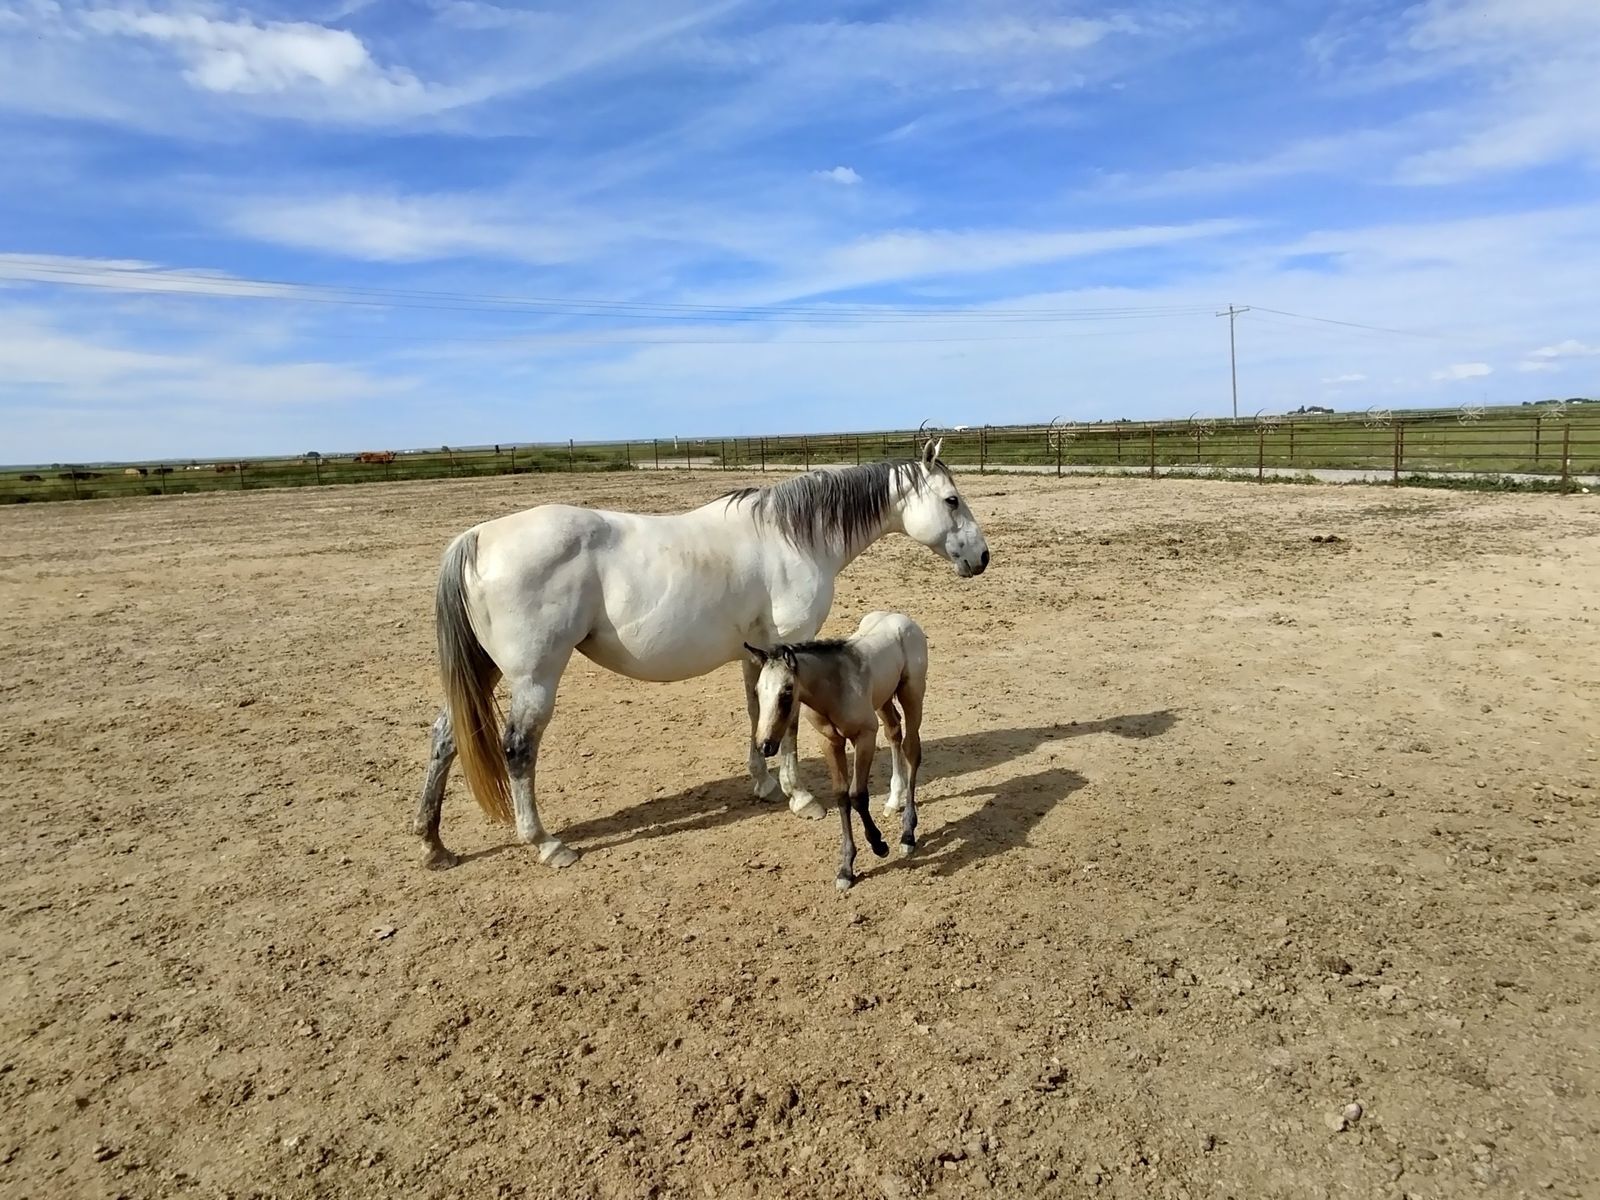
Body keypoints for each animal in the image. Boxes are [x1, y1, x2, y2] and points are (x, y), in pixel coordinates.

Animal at [745, 610, 928, 891]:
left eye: (786, 692)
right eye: (757, 691)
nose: (765, 745)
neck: (834, 688)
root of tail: (901, 618)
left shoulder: (864, 737)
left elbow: (858, 795)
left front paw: (879, 845)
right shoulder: (830, 742)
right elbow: (841, 796)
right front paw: (846, 869)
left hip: (912, 694)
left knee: (911, 750)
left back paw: (907, 834)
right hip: (884, 699)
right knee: (894, 732)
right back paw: (892, 801)